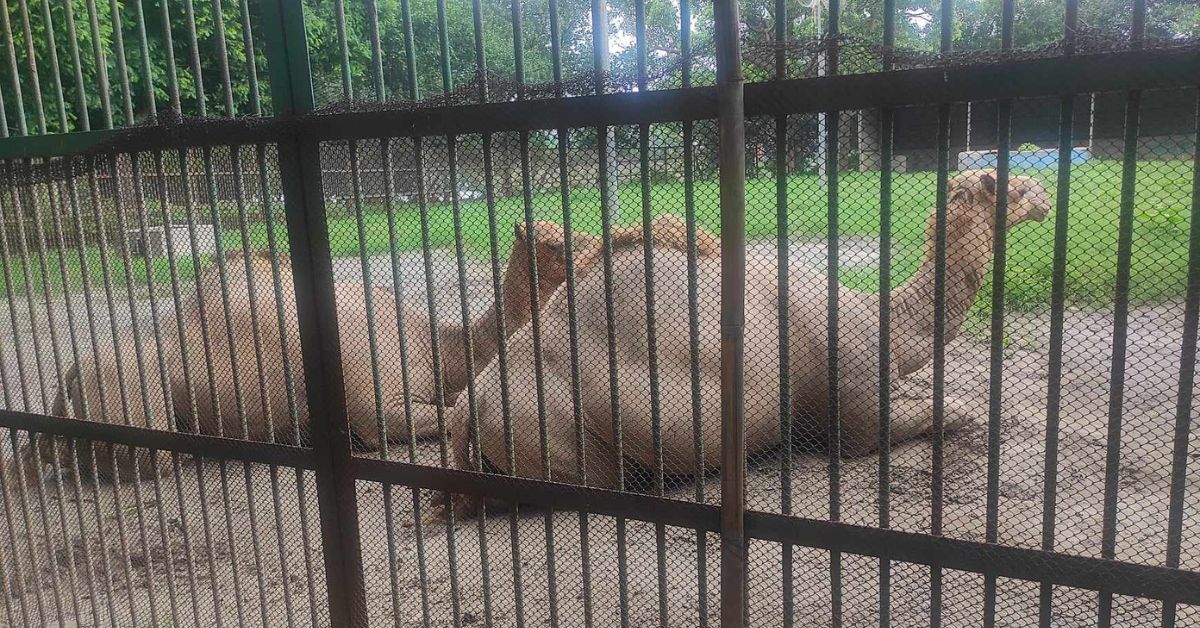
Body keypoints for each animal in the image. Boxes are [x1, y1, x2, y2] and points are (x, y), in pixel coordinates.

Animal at [444, 170, 1051, 516]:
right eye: (1012, 185)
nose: (1046, 197)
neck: (881, 319)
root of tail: (468, 408)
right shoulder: (855, 412)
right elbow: (926, 415)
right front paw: (971, 418)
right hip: (559, 439)